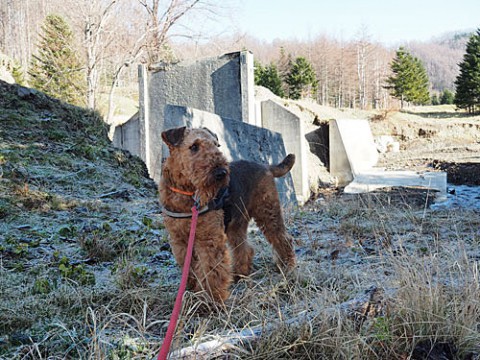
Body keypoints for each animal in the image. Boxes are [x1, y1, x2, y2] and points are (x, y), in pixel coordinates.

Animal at [159, 126, 294, 304]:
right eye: (194, 146)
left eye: (216, 145)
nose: (221, 173)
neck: (186, 194)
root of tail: (265, 166)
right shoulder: (179, 241)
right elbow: (191, 270)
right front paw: (192, 291)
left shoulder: (209, 239)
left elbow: (211, 272)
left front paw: (211, 301)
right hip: (236, 225)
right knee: (245, 248)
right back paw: (240, 274)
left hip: (268, 212)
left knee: (283, 238)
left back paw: (287, 266)